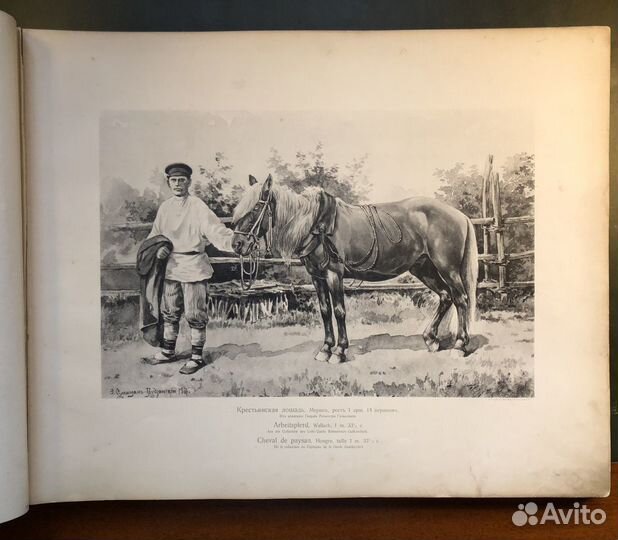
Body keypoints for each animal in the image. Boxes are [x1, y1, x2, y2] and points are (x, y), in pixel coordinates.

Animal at [231, 175, 476, 364]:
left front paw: (339, 351)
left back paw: (459, 345)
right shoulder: (317, 277)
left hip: (448, 269)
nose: (237, 244)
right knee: (445, 296)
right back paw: (431, 339)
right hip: (424, 269)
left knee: (461, 299)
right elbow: (325, 311)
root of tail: (460, 215)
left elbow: (339, 311)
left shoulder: (334, 274)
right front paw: (325, 349)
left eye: (256, 208)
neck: (316, 226)